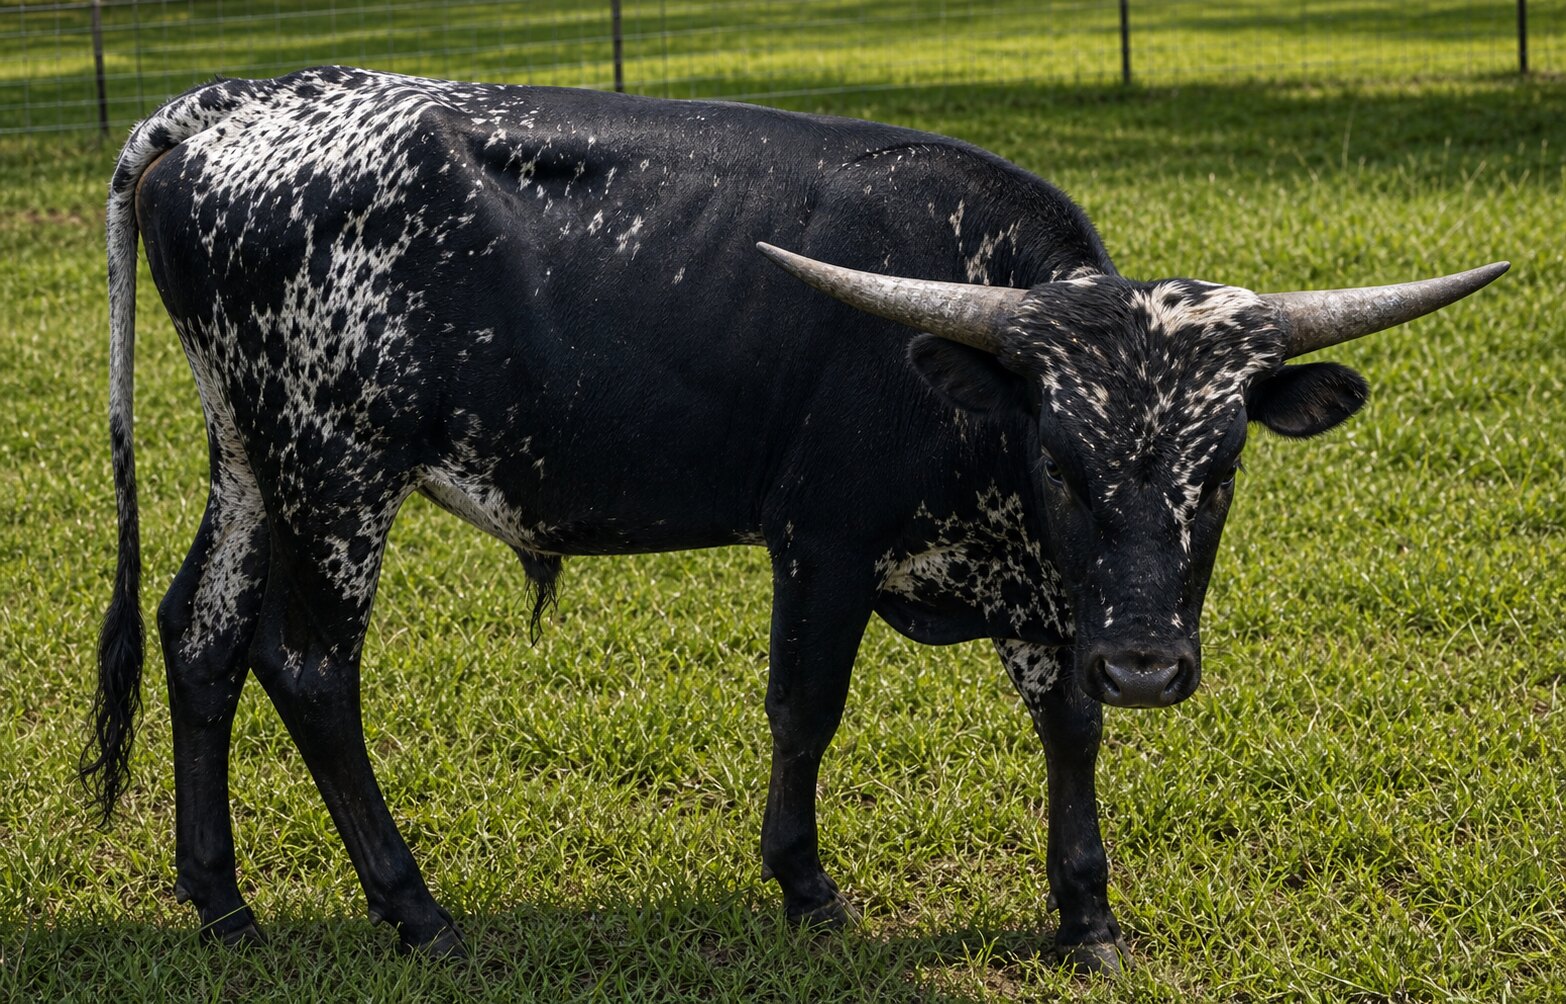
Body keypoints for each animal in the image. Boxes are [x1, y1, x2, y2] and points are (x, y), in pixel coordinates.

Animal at [82, 66, 1505, 970]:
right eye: (1062, 459)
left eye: (1220, 466)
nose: (1153, 661)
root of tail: (235, 104)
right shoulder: (824, 543)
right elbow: (804, 710)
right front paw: (806, 884)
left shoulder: (1056, 597)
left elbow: (1070, 724)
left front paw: (1086, 912)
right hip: (336, 469)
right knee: (308, 665)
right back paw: (415, 909)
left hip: (251, 457)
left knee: (200, 639)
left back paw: (223, 902)